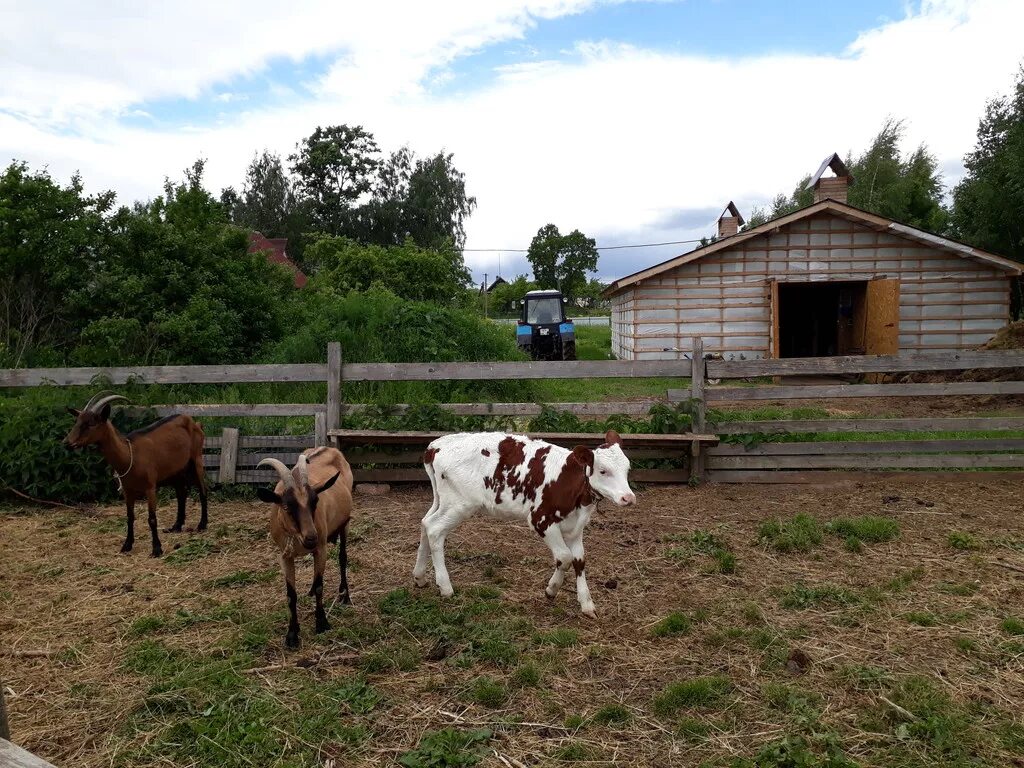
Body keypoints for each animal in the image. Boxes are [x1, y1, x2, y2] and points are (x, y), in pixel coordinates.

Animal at [64, 397, 209, 561]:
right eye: (77, 421)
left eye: (91, 423)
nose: (67, 443)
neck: (129, 455)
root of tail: (192, 421)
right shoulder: (128, 491)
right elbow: (130, 517)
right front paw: (127, 545)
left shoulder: (150, 488)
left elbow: (152, 519)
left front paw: (157, 549)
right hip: (175, 470)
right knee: (181, 494)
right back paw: (176, 526)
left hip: (196, 459)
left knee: (203, 491)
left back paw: (202, 524)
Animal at [256, 444, 356, 651]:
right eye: (286, 506)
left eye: (315, 501)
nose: (311, 538)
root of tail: (329, 447)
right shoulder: (285, 556)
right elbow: (290, 595)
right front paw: (292, 634)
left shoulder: (321, 549)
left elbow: (320, 585)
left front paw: (322, 623)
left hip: (345, 523)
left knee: (342, 557)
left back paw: (345, 595)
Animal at [413, 434, 634, 618]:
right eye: (603, 471)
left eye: (627, 469)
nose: (628, 498)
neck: (570, 482)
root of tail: (435, 446)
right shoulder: (540, 519)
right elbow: (564, 557)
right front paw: (551, 589)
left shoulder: (576, 527)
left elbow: (579, 561)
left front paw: (587, 604)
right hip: (460, 504)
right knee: (434, 530)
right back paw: (445, 586)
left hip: (444, 501)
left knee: (425, 523)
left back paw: (419, 576)